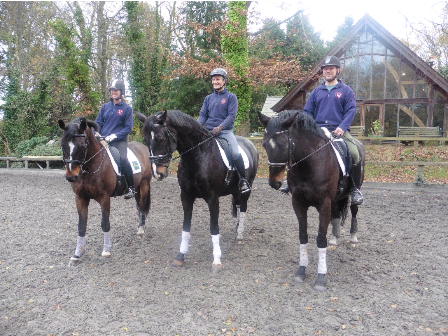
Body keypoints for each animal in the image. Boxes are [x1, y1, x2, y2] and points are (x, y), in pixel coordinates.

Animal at [58, 117, 152, 266]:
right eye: (62, 145)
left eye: (82, 146)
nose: (71, 176)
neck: (90, 168)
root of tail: (142, 147)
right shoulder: (80, 198)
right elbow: (81, 225)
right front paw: (77, 254)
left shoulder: (104, 197)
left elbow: (105, 223)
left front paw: (106, 251)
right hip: (137, 186)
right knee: (139, 206)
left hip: (144, 184)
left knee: (142, 206)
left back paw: (141, 230)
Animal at [135, 110, 258, 272]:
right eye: (145, 140)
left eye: (161, 138)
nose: (158, 173)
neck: (198, 157)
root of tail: (250, 143)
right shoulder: (186, 197)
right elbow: (186, 228)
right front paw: (180, 256)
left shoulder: (213, 198)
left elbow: (213, 228)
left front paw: (217, 260)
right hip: (235, 191)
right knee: (237, 206)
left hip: (245, 190)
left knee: (242, 208)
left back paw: (240, 234)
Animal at [258, 110, 366, 292]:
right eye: (265, 145)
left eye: (284, 145)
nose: (274, 183)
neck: (309, 163)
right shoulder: (298, 203)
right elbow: (303, 236)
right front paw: (301, 270)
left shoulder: (324, 204)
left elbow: (320, 239)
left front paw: (321, 277)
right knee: (336, 214)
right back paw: (335, 238)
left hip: (353, 191)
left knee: (354, 211)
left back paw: (353, 237)